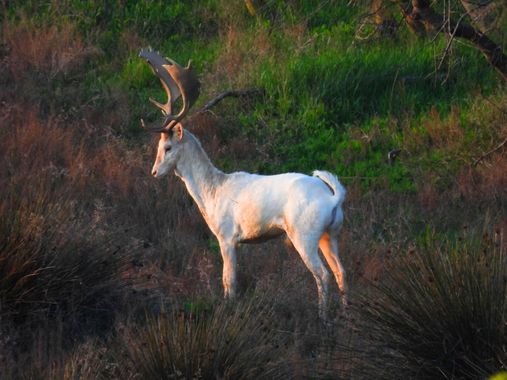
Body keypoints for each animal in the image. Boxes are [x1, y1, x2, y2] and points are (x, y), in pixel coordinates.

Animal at [139, 48, 350, 320]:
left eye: (167, 147)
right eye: (158, 146)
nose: (154, 172)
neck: (212, 194)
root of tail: (334, 198)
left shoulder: (227, 236)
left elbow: (228, 281)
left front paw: (228, 311)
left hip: (305, 233)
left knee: (322, 274)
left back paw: (322, 318)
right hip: (331, 233)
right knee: (341, 271)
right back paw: (347, 314)